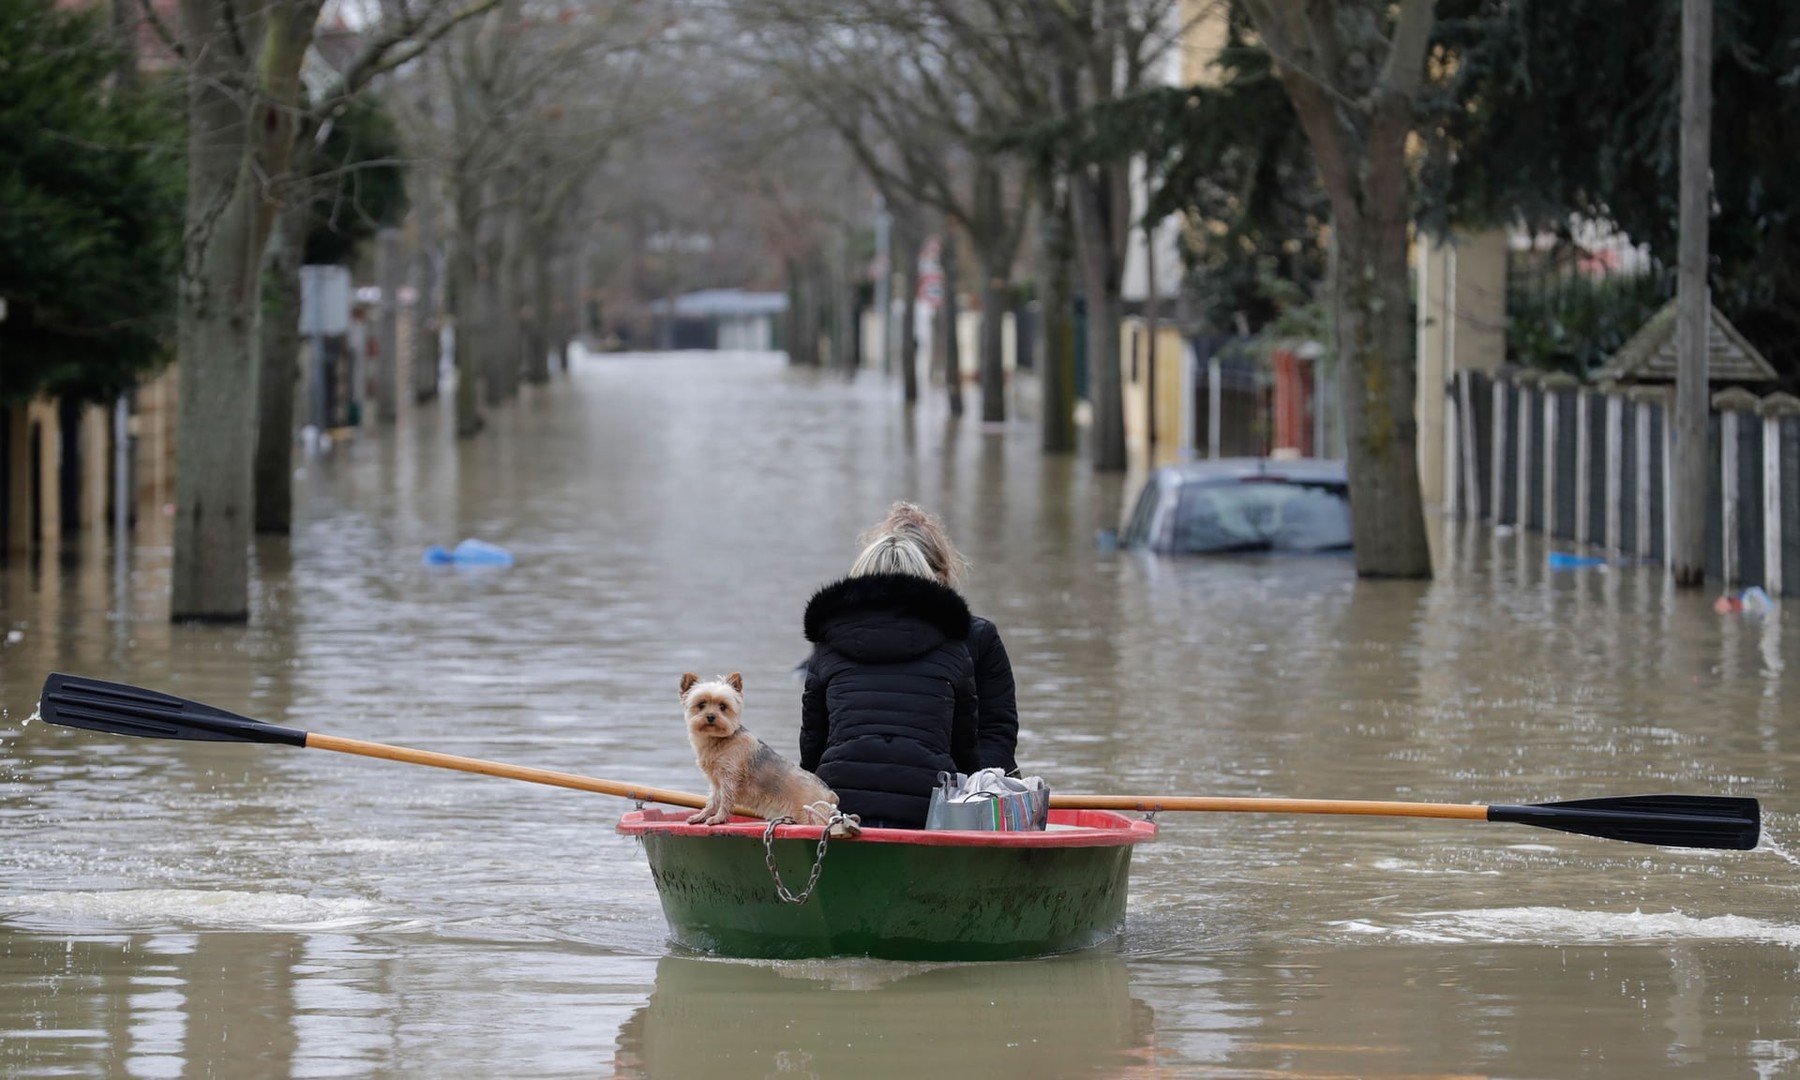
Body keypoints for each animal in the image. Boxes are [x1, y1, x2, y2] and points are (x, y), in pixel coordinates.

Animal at [676, 669, 846, 831]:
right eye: (701, 705)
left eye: (723, 707)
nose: (711, 716)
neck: (720, 740)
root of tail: (830, 794)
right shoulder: (717, 783)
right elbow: (713, 801)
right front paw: (702, 816)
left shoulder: (729, 779)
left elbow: (725, 800)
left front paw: (718, 818)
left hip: (811, 816)